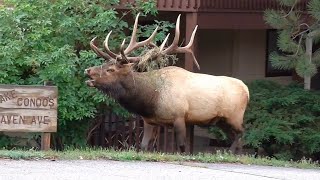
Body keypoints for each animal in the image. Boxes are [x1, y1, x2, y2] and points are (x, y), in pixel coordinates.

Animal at [85, 13, 250, 153]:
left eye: (111, 69)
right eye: (104, 63)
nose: (88, 70)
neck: (150, 99)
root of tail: (246, 90)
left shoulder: (180, 117)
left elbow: (182, 147)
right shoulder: (149, 121)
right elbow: (143, 146)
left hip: (235, 116)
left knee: (242, 133)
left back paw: (230, 152)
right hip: (222, 121)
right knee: (236, 137)